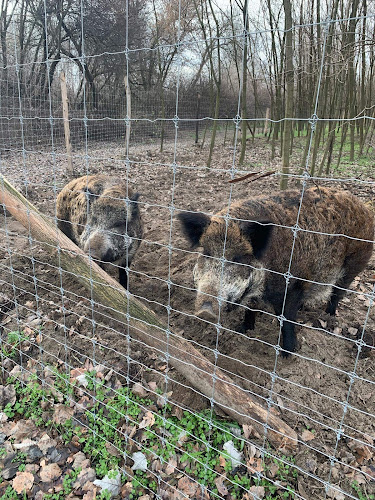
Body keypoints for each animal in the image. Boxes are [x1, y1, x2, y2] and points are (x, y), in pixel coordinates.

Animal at [178, 187, 374, 356]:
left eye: (238, 258)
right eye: (207, 253)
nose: (205, 312)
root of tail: (363, 207)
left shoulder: (293, 285)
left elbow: (286, 320)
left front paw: (287, 354)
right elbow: (251, 309)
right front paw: (243, 331)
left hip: (355, 263)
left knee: (338, 292)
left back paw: (329, 316)